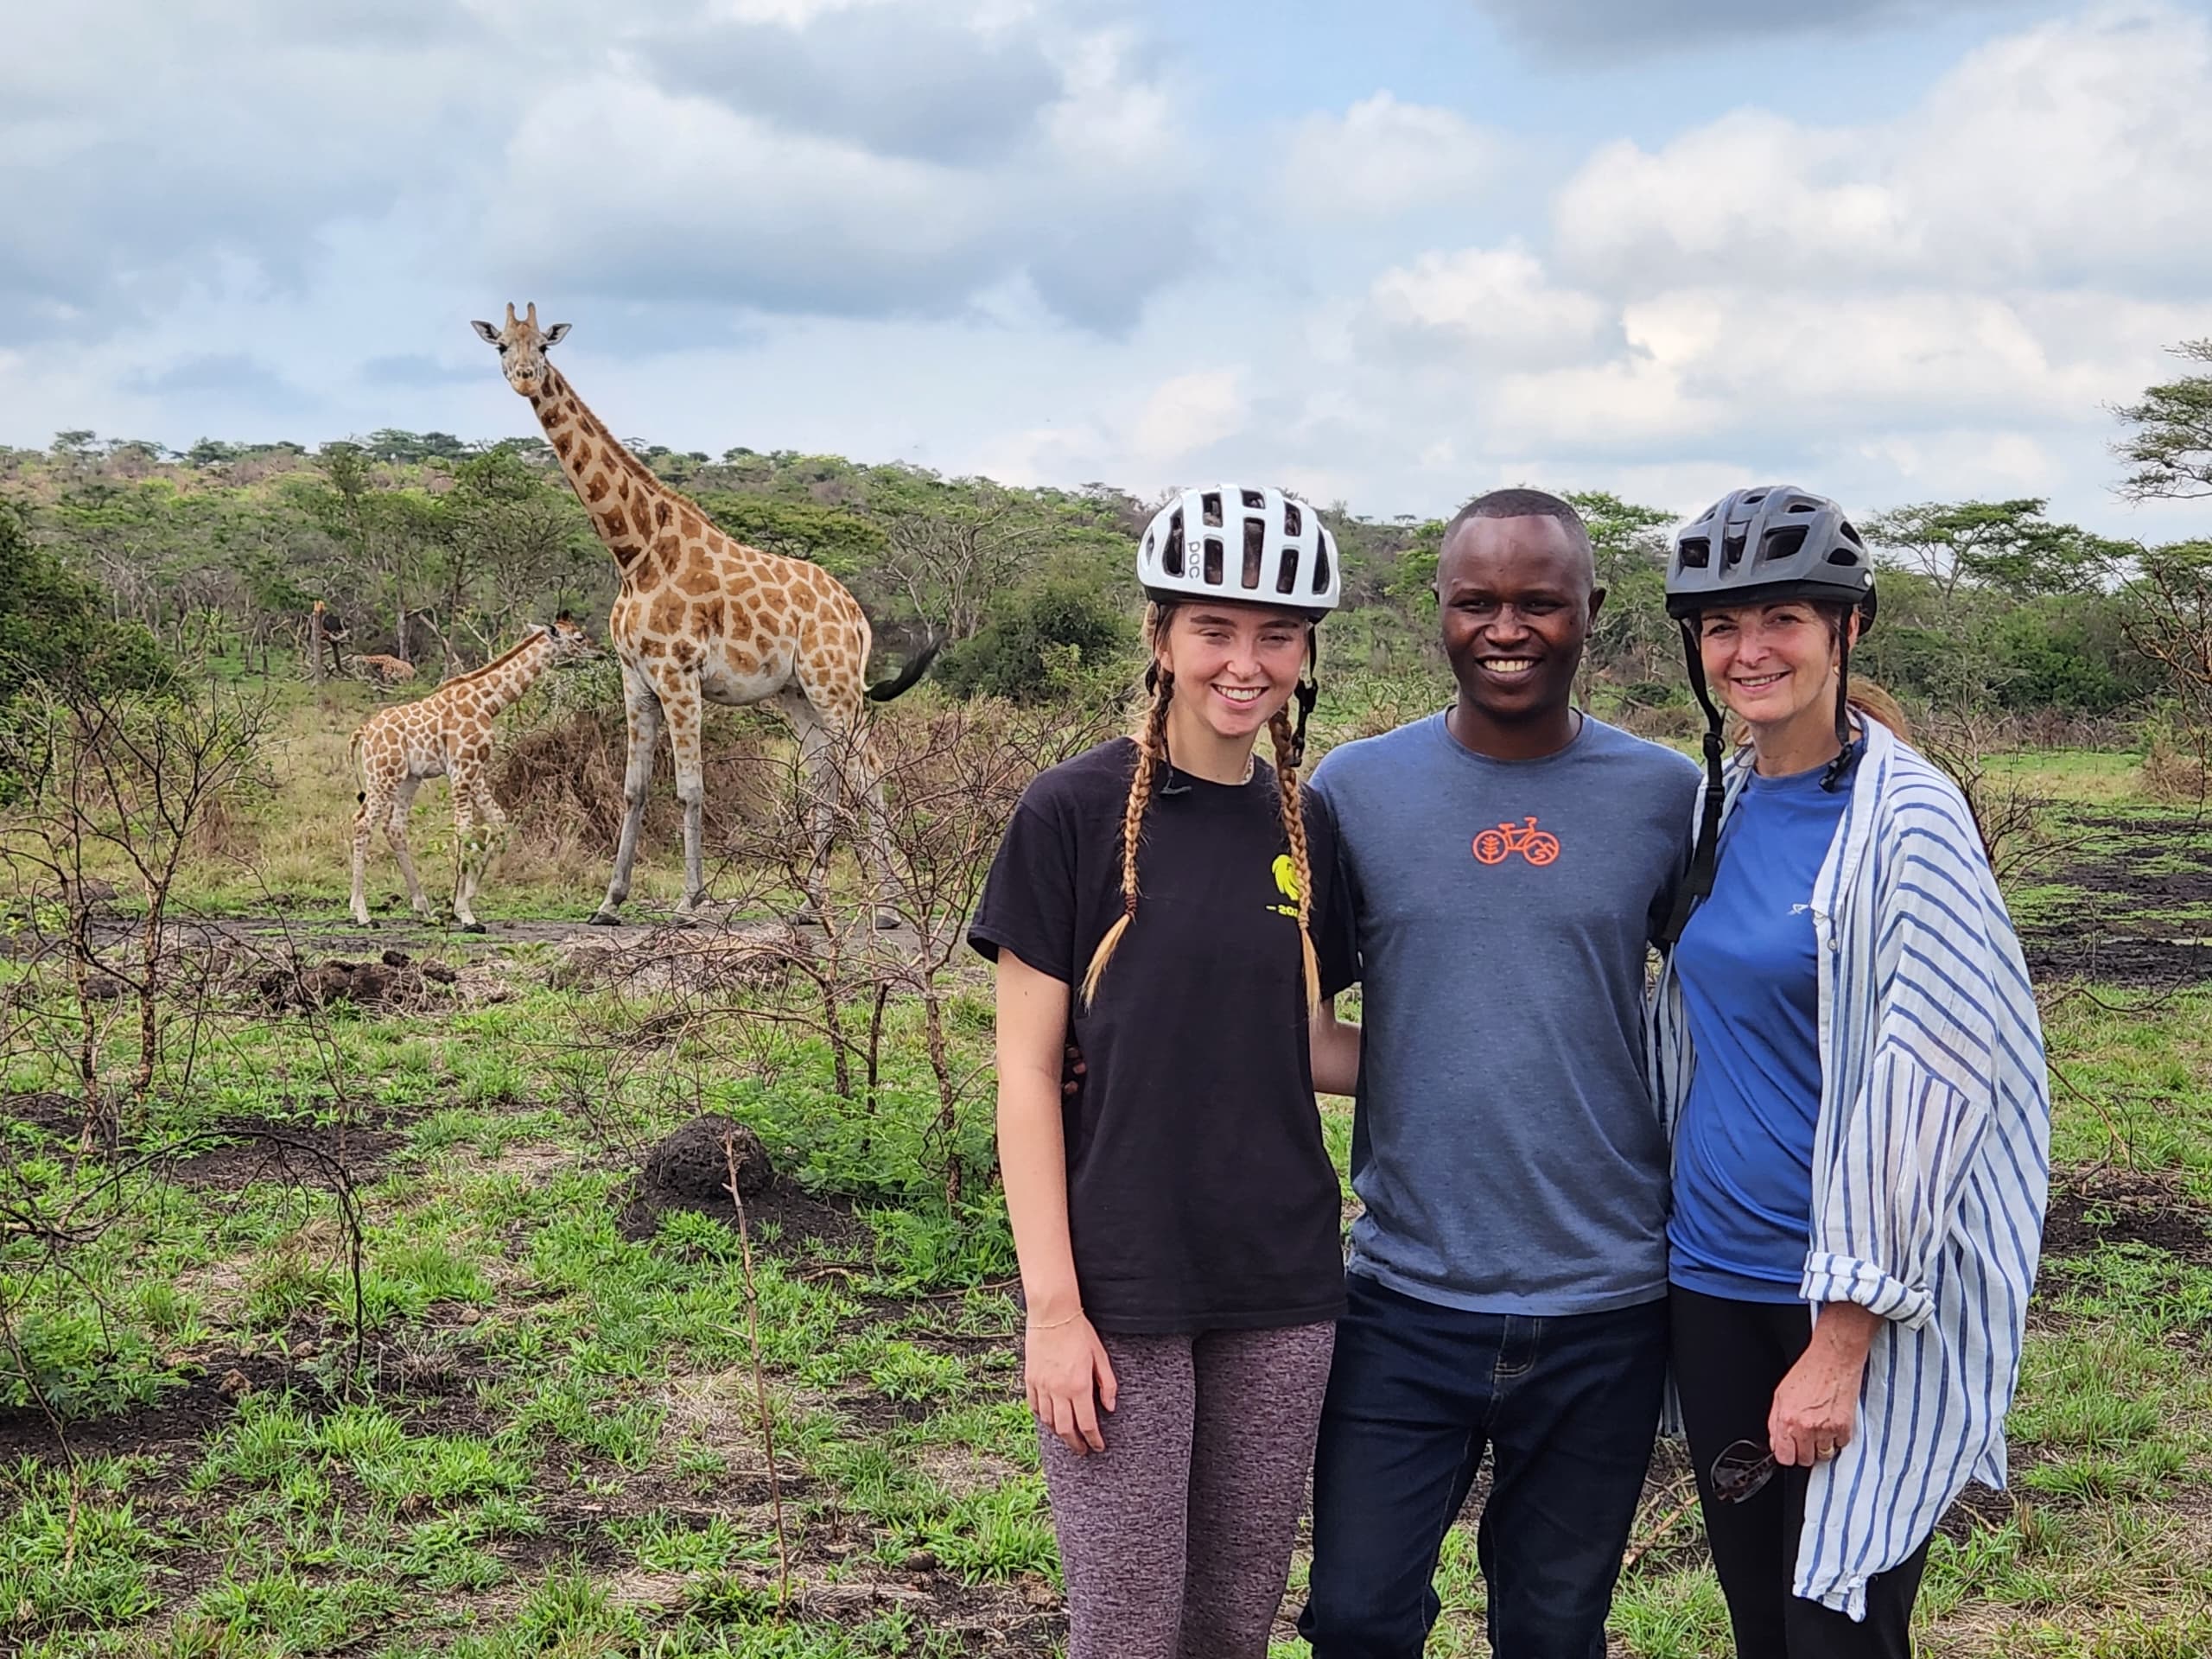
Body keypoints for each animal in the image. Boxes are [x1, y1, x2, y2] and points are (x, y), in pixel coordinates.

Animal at [349, 614, 601, 938]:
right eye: (579, 638)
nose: (601, 653)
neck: (488, 703)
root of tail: (365, 731)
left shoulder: (476, 769)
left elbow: (498, 822)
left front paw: (462, 903)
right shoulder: (462, 768)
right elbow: (465, 831)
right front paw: (466, 915)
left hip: (407, 777)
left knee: (393, 828)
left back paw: (423, 907)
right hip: (384, 775)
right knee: (362, 824)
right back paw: (362, 913)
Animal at [471, 305, 938, 929]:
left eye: (544, 346)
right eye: (501, 345)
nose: (524, 377)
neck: (635, 554)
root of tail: (856, 614)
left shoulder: (678, 674)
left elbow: (690, 788)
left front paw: (691, 902)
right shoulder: (635, 678)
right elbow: (634, 789)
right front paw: (610, 902)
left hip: (834, 681)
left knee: (869, 768)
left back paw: (886, 907)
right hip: (797, 693)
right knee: (826, 775)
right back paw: (811, 906)